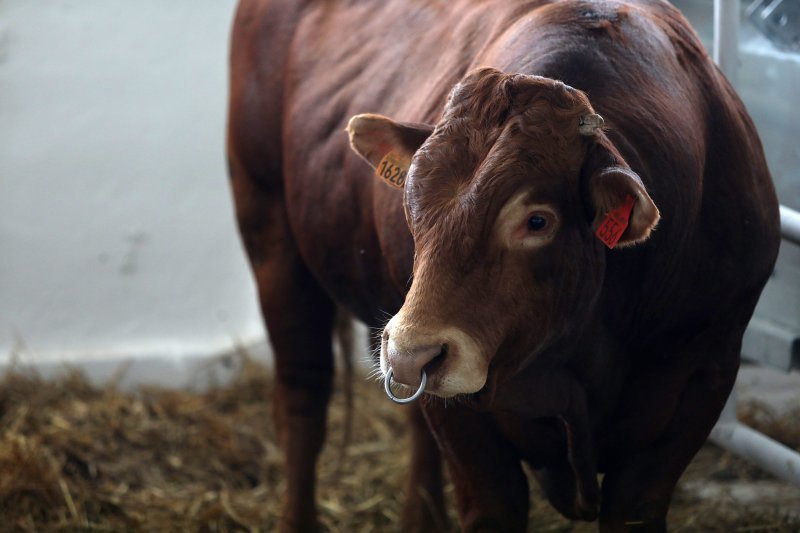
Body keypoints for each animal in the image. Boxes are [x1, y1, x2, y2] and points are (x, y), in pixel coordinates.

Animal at [228, 2, 780, 528]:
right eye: (410, 200)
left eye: (537, 220)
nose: (410, 353)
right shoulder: (467, 432)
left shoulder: (700, 382)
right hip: (271, 234)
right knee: (303, 397)